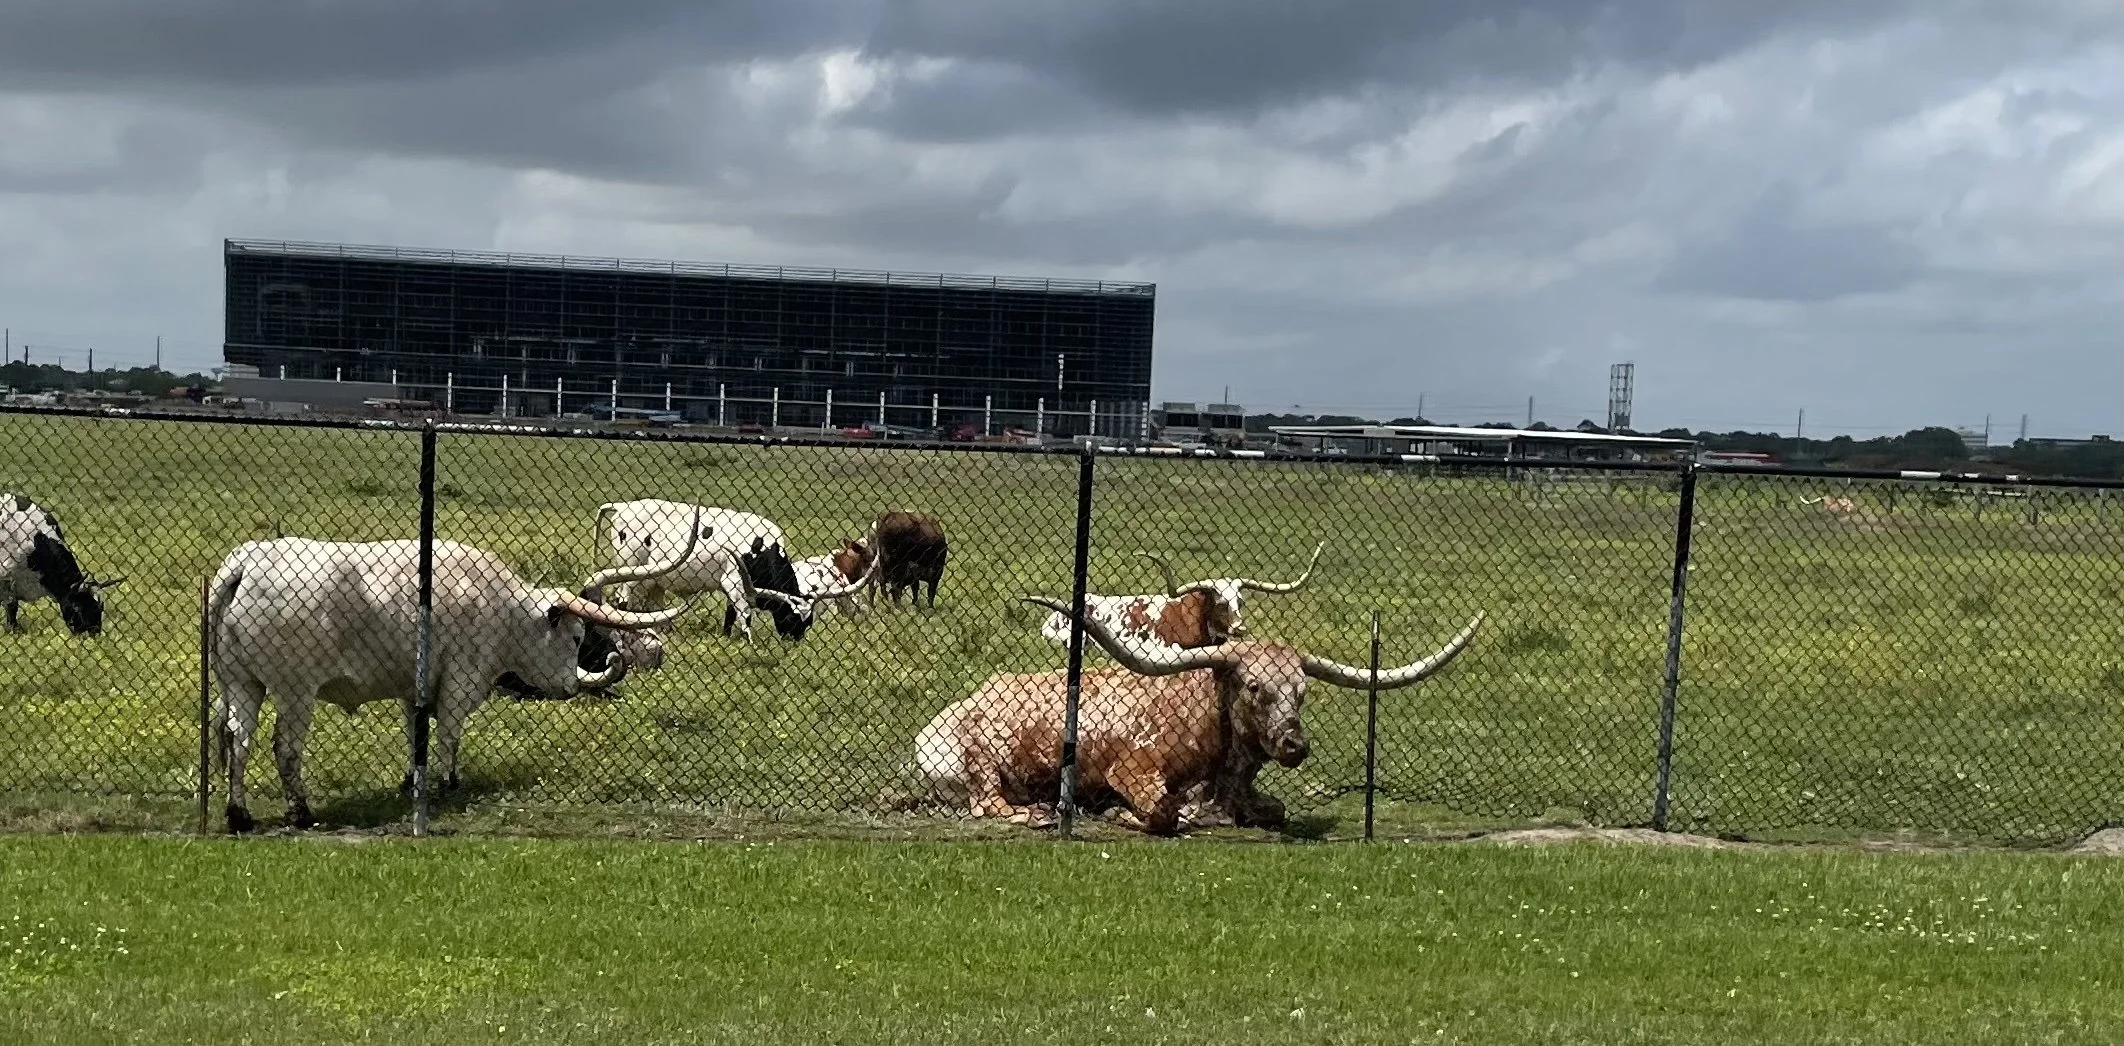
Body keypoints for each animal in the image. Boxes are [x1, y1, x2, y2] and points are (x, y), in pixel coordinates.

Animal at [206, 514, 703, 834]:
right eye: (579, 635)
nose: (570, 684)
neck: (505, 611)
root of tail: (245, 564)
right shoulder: (460, 684)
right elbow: (448, 734)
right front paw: (448, 783)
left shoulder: (413, 689)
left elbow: (416, 735)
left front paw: (412, 781)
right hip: (295, 691)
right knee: (284, 747)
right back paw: (302, 813)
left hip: (242, 684)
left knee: (237, 738)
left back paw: (239, 816)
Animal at [593, 499, 874, 643]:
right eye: (790, 617)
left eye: (809, 621)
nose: (793, 641)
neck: (762, 549)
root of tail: (624, 505)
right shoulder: (735, 583)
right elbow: (744, 615)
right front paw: (749, 643)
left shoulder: (735, 585)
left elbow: (730, 615)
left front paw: (728, 637)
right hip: (631, 571)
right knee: (623, 600)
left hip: (657, 579)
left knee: (655, 605)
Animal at [908, 595, 1484, 836]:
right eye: (1254, 685)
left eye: (1302, 692)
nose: (1295, 746)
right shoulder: (1129, 768)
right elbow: (1163, 811)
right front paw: (1121, 814)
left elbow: (1273, 809)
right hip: (984, 761)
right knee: (989, 805)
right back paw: (1043, 813)